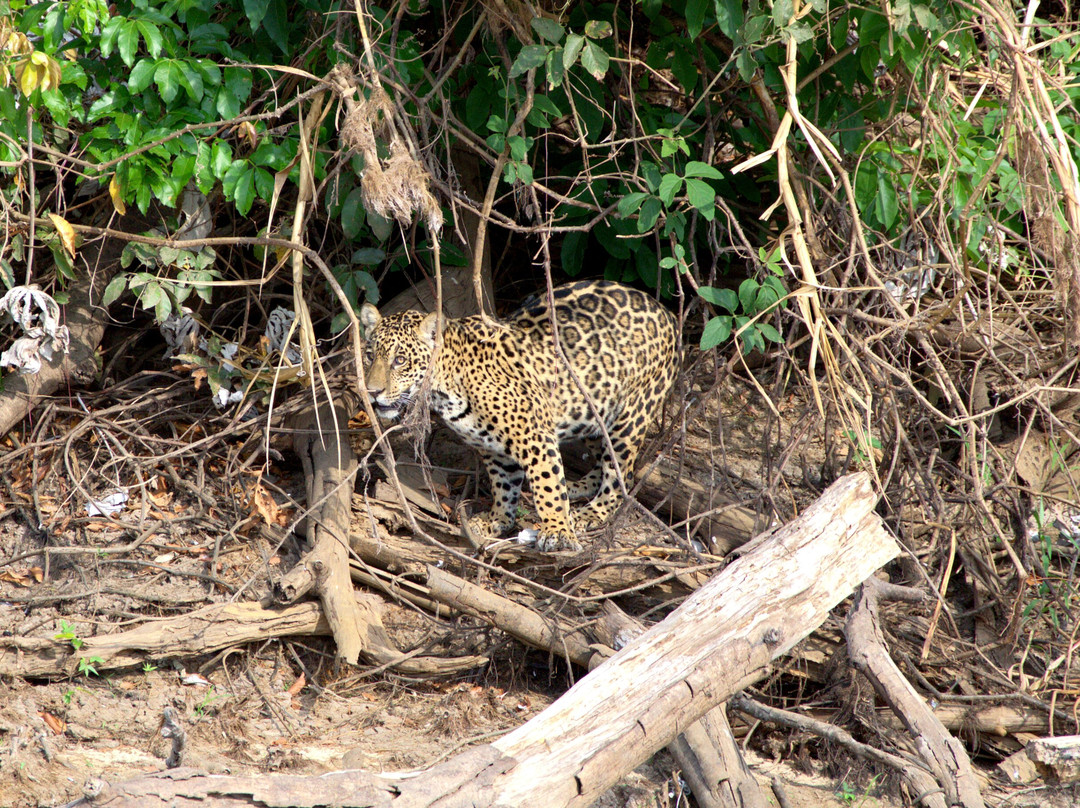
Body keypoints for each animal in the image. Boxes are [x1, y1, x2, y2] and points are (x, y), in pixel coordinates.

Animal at [360, 280, 678, 552]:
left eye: (400, 360)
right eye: (369, 355)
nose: (372, 391)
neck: (445, 387)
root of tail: (667, 313)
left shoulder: (535, 437)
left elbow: (547, 484)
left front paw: (557, 531)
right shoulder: (492, 448)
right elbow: (504, 484)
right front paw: (497, 520)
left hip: (629, 418)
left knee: (619, 476)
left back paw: (589, 512)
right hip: (591, 410)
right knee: (601, 462)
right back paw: (576, 488)